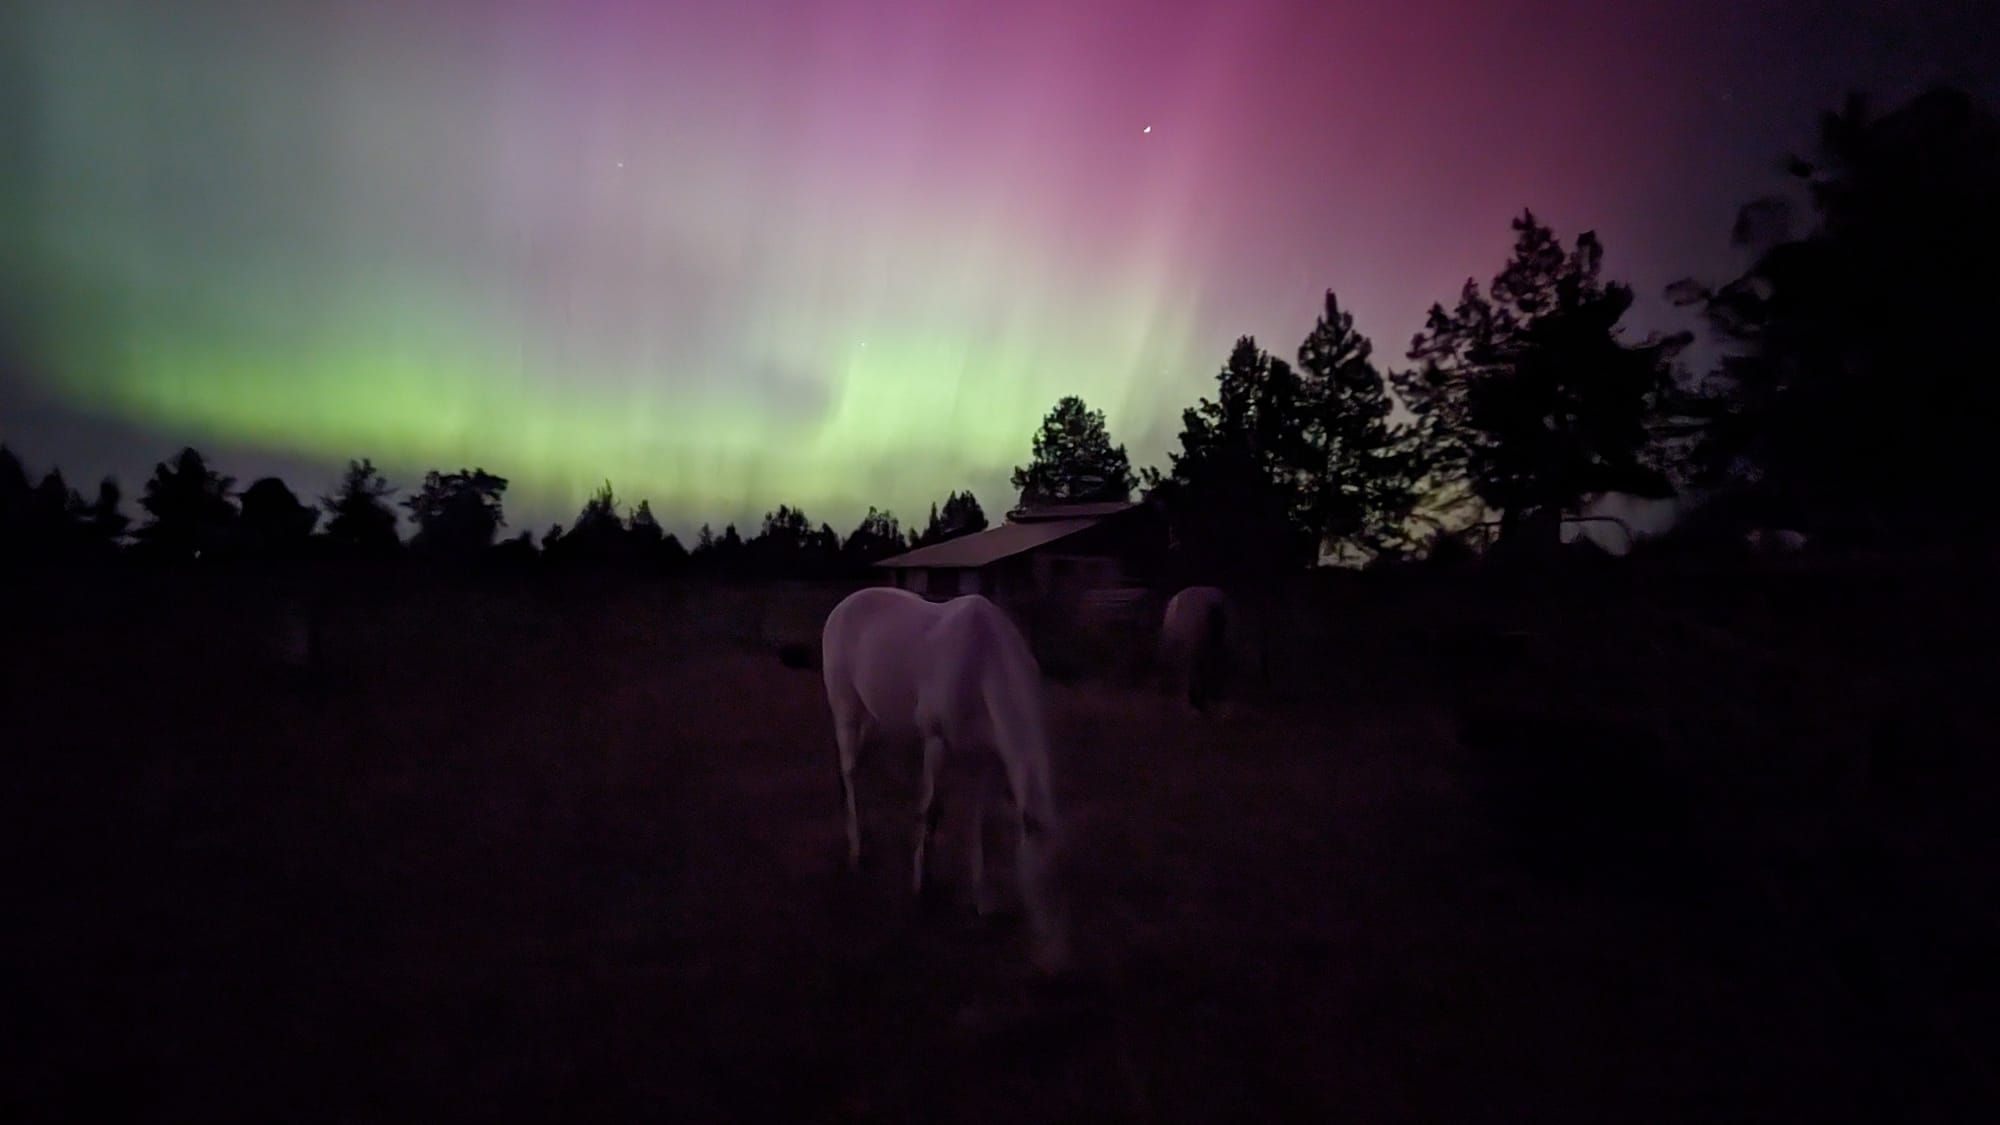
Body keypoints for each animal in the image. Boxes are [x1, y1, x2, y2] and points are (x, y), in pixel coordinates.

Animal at [816, 580, 1072, 968]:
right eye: (1040, 881)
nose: (1058, 967)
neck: (981, 661)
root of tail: (844, 604)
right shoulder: (936, 743)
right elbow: (932, 812)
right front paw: (921, 887)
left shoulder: (988, 761)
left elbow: (980, 827)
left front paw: (982, 901)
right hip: (846, 710)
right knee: (850, 771)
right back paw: (857, 851)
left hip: (877, 720)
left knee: (862, 767)